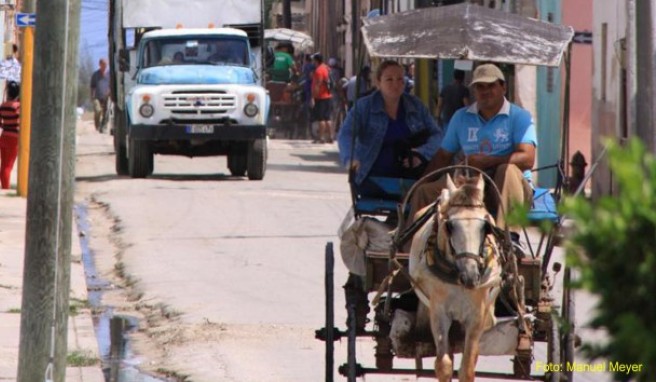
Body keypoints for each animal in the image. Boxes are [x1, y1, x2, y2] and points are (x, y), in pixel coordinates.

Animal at [408, 174, 504, 382]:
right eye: (450, 226)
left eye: (486, 226)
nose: (470, 277)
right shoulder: (439, 312)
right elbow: (443, 365)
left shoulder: (477, 316)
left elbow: (467, 368)